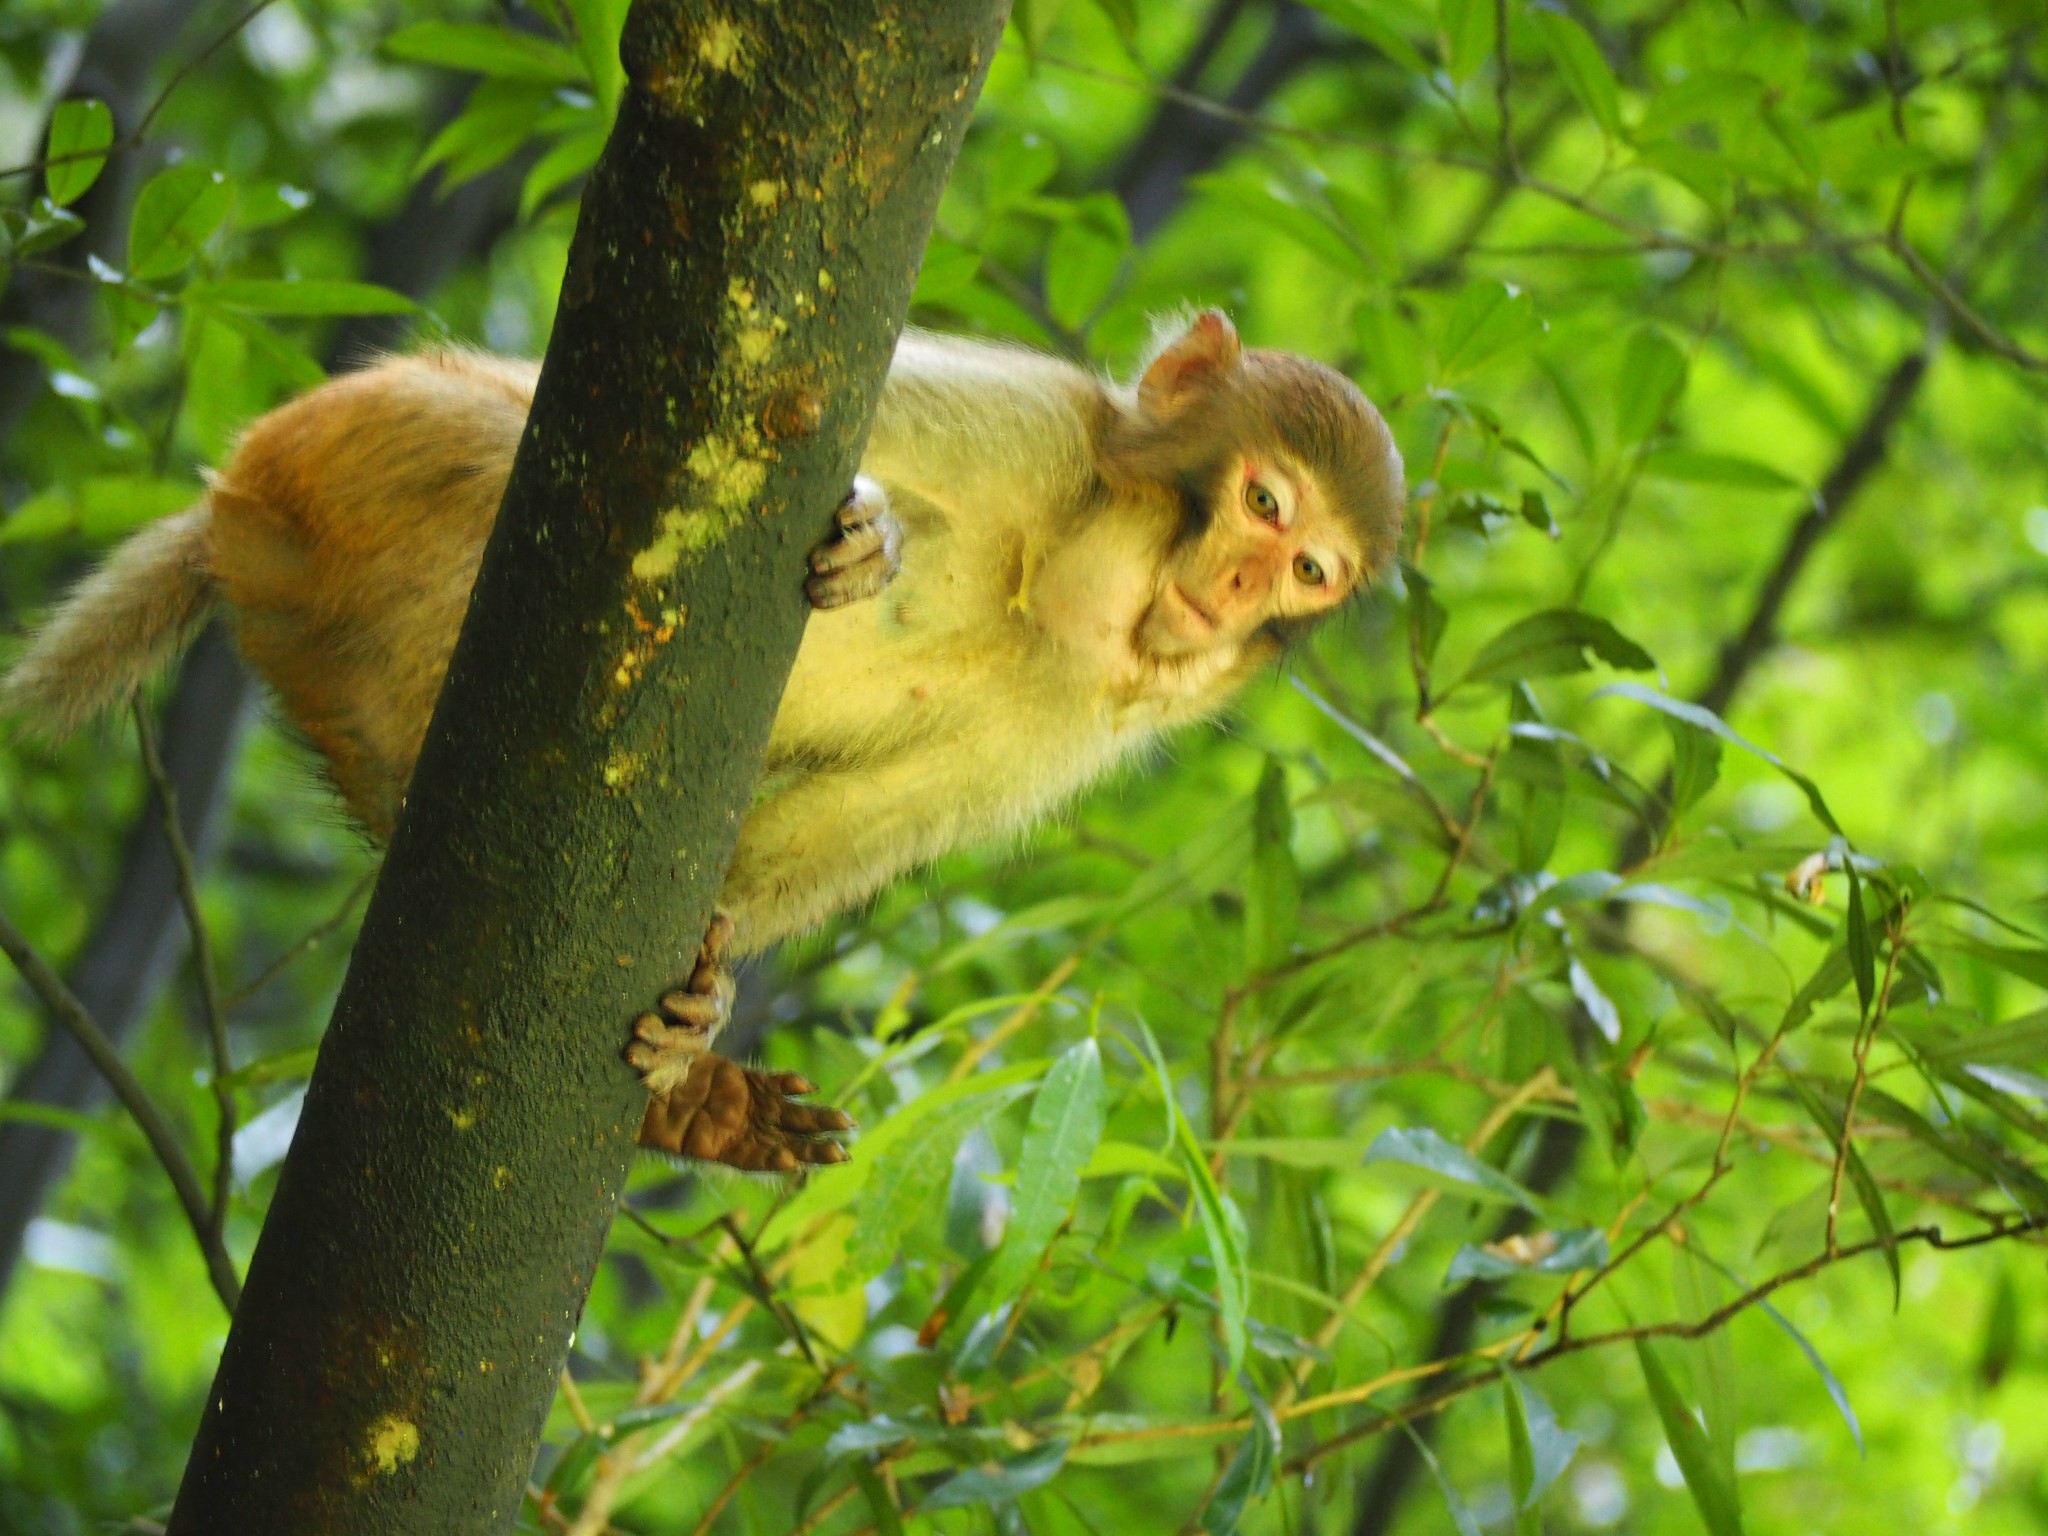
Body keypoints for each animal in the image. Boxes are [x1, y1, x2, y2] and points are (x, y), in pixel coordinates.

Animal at [0, 309, 1409, 1179]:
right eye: (1262, 499)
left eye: (1310, 568)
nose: (1239, 591)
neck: (1054, 579)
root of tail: (237, 508)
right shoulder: (1028, 424)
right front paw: (871, 534)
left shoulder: (1070, 720)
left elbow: (847, 830)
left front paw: (702, 1021)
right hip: (352, 449)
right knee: (517, 452)